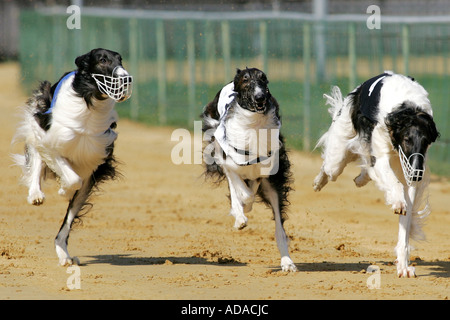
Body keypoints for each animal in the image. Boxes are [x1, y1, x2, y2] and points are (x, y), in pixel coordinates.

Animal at [12, 48, 132, 266]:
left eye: (120, 60)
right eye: (103, 60)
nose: (125, 78)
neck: (89, 103)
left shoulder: (93, 161)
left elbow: (76, 182)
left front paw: (65, 190)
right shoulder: (49, 136)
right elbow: (63, 170)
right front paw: (61, 190)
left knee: (66, 224)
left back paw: (64, 255)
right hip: (38, 117)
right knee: (36, 161)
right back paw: (36, 195)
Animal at [202, 69, 298, 272]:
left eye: (264, 80)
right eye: (246, 81)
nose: (260, 96)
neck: (254, 125)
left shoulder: (268, 169)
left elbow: (251, 190)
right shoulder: (226, 160)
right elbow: (241, 191)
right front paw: (241, 213)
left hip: (273, 184)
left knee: (279, 227)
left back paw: (287, 262)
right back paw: (240, 216)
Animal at [314, 70, 438, 278]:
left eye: (426, 141)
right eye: (407, 139)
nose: (416, 175)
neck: (408, 107)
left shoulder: (409, 169)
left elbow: (406, 216)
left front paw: (403, 266)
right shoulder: (382, 155)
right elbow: (394, 184)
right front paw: (397, 202)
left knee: (365, 170)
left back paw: (361, 178)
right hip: (339, 151)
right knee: (330, 168)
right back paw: (319, 181)